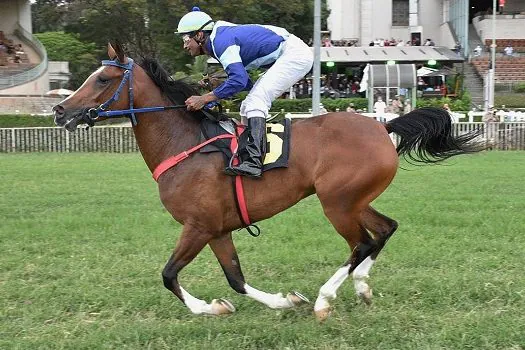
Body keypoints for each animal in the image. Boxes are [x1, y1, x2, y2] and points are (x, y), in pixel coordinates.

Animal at [51, 42, 482, 322]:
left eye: (103, 78)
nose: (59, 110)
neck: (184, 144)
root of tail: (383, 126)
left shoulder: (198, 226)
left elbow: (169, 275)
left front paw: (207, 307)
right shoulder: (217, 229)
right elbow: (235, 279)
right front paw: (277, 302)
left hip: (337, 202)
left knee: (362, 242)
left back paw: (324, 300)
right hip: (355, 199)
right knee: (384, 230)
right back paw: (361, 286)